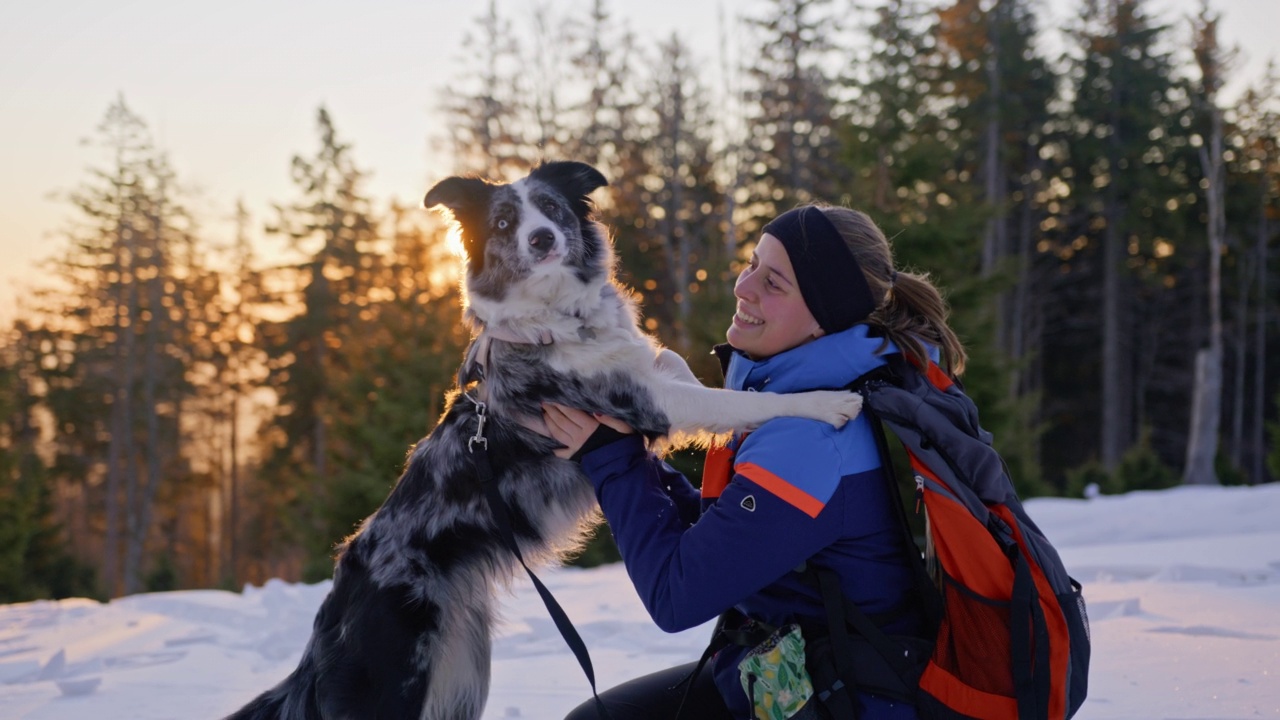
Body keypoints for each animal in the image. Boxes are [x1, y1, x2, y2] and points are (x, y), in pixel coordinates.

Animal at [227, 162, 870, 717]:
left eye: (554, 209)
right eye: (504, 222)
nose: (540, 239)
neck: (559, 316)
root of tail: (325, 624)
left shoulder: (649, 380)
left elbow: (675, 362)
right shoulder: (640, 403)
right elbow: (735, 401)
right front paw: (825, 401)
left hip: (461, 671)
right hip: (397, 685)